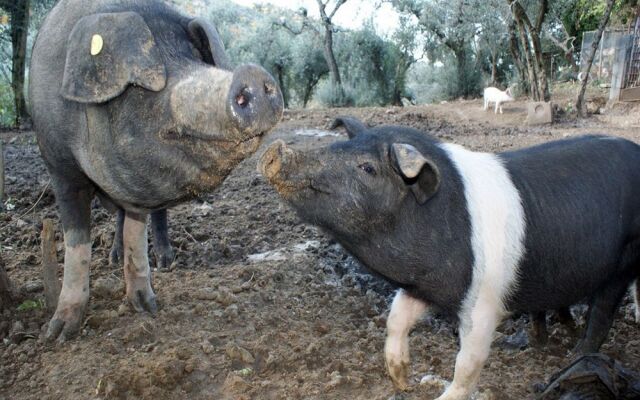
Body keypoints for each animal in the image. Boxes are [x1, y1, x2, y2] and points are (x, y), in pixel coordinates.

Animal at [28, 0, 282, 344]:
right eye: (142, 87)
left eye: (194, 58)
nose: (252, 73)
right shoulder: (60, 168)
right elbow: (77, 243)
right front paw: (58, 334)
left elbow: (137, 233)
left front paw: (148, 307)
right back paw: (112, 259)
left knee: (157, 217)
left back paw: (165, 261)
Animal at [258, 116, 640, 400]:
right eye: (338, 146)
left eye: (367, 168)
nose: (275, 150)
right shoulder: (426, 285)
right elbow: (396, 318)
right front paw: (401, 378)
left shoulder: (485, 299)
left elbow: (468, 361)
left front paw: (441, 393)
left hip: (624, 260)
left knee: (603, 314)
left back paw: (576, 354)